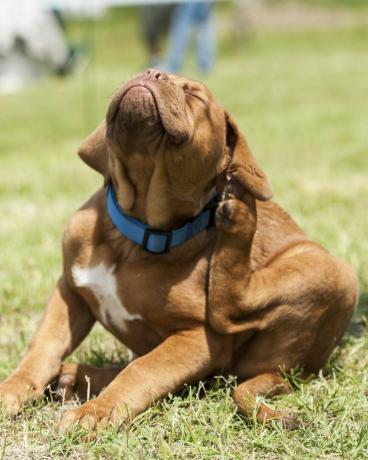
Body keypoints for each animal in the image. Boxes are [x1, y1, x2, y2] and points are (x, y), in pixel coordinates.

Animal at [0, 69, 356, 432]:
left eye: (195, 97)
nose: (151, 72)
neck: (134, 233)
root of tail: (285, 372)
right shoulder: (69, 290)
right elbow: (42, 348)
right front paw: (11, 390)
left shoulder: (198, 338)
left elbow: (143, 371)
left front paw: (96, 413)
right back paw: (75, 377)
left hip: (332, 272)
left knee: (231, 309)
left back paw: (242, 216)